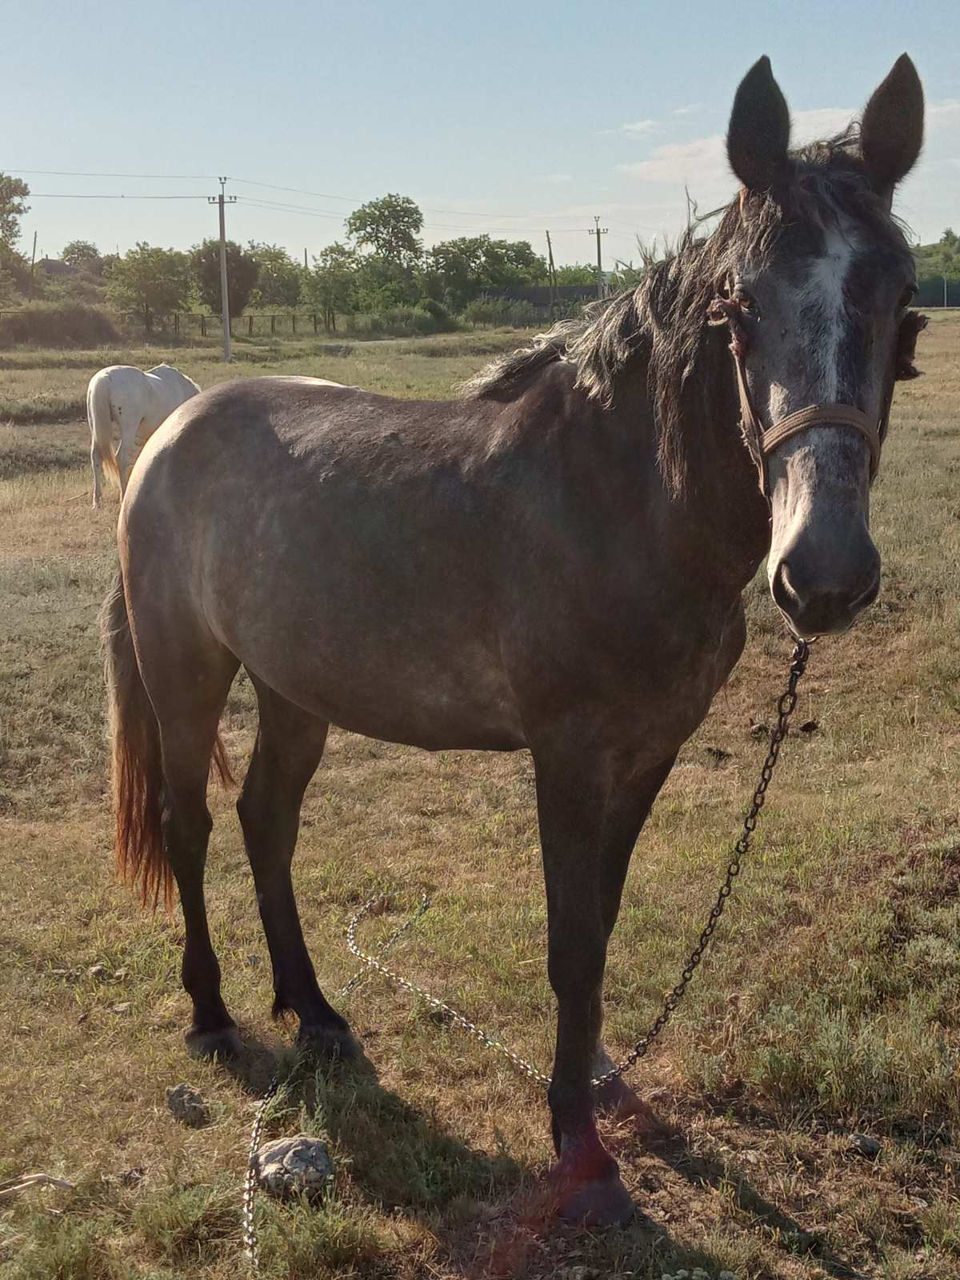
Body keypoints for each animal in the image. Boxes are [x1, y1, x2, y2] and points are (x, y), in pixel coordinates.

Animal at [90, 363, 202, 506]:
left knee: (96, 457)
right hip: (128, 429)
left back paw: (97, 501)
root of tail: (104, 378)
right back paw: (123, 495)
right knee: (121, 458)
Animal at [104, 57, 926, 1228]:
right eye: (738, 305)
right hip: (186, 672)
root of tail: (168, 431)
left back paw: (315, 1009)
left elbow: (603, 924)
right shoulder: (568, 755)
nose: (824, 574)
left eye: (904, 303)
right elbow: (571, 941)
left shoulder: (650, 751)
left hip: (295, 686)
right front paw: (578, 1140)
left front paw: (597, 1086)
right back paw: (214, 1013)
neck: (623, 502)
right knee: (191, 824)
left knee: (268, 819)